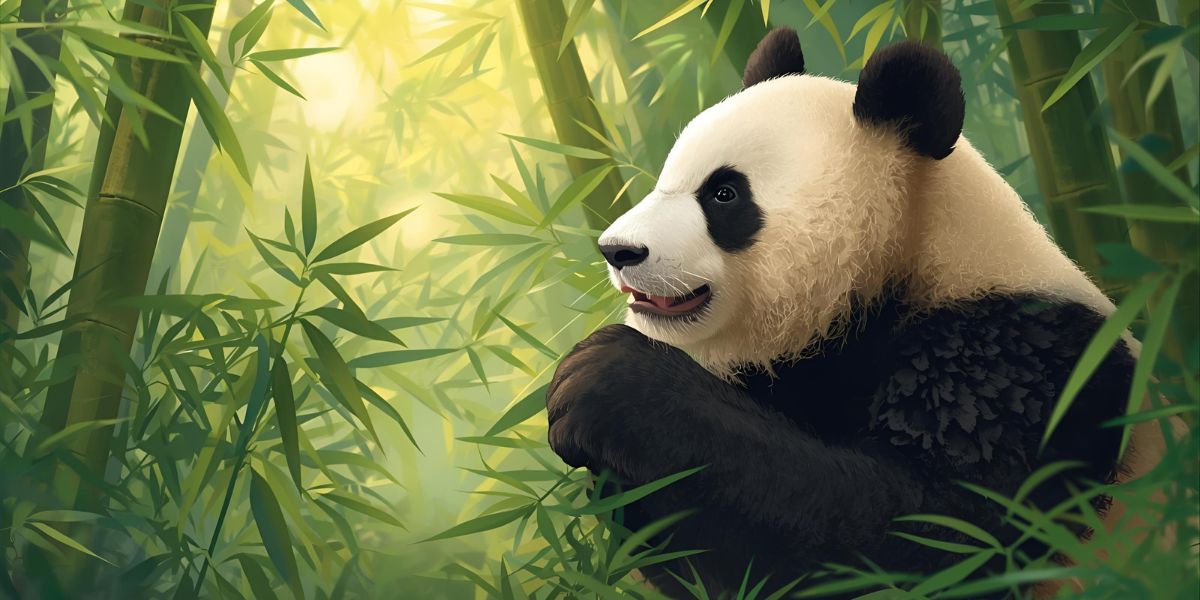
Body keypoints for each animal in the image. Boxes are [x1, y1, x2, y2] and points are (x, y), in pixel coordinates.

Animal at [544, 28, 1170, 597]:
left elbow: (932, 541)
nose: (618, 250)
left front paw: (606, 381)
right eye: (665, 179)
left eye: (724, 194)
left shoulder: (1022, 369)